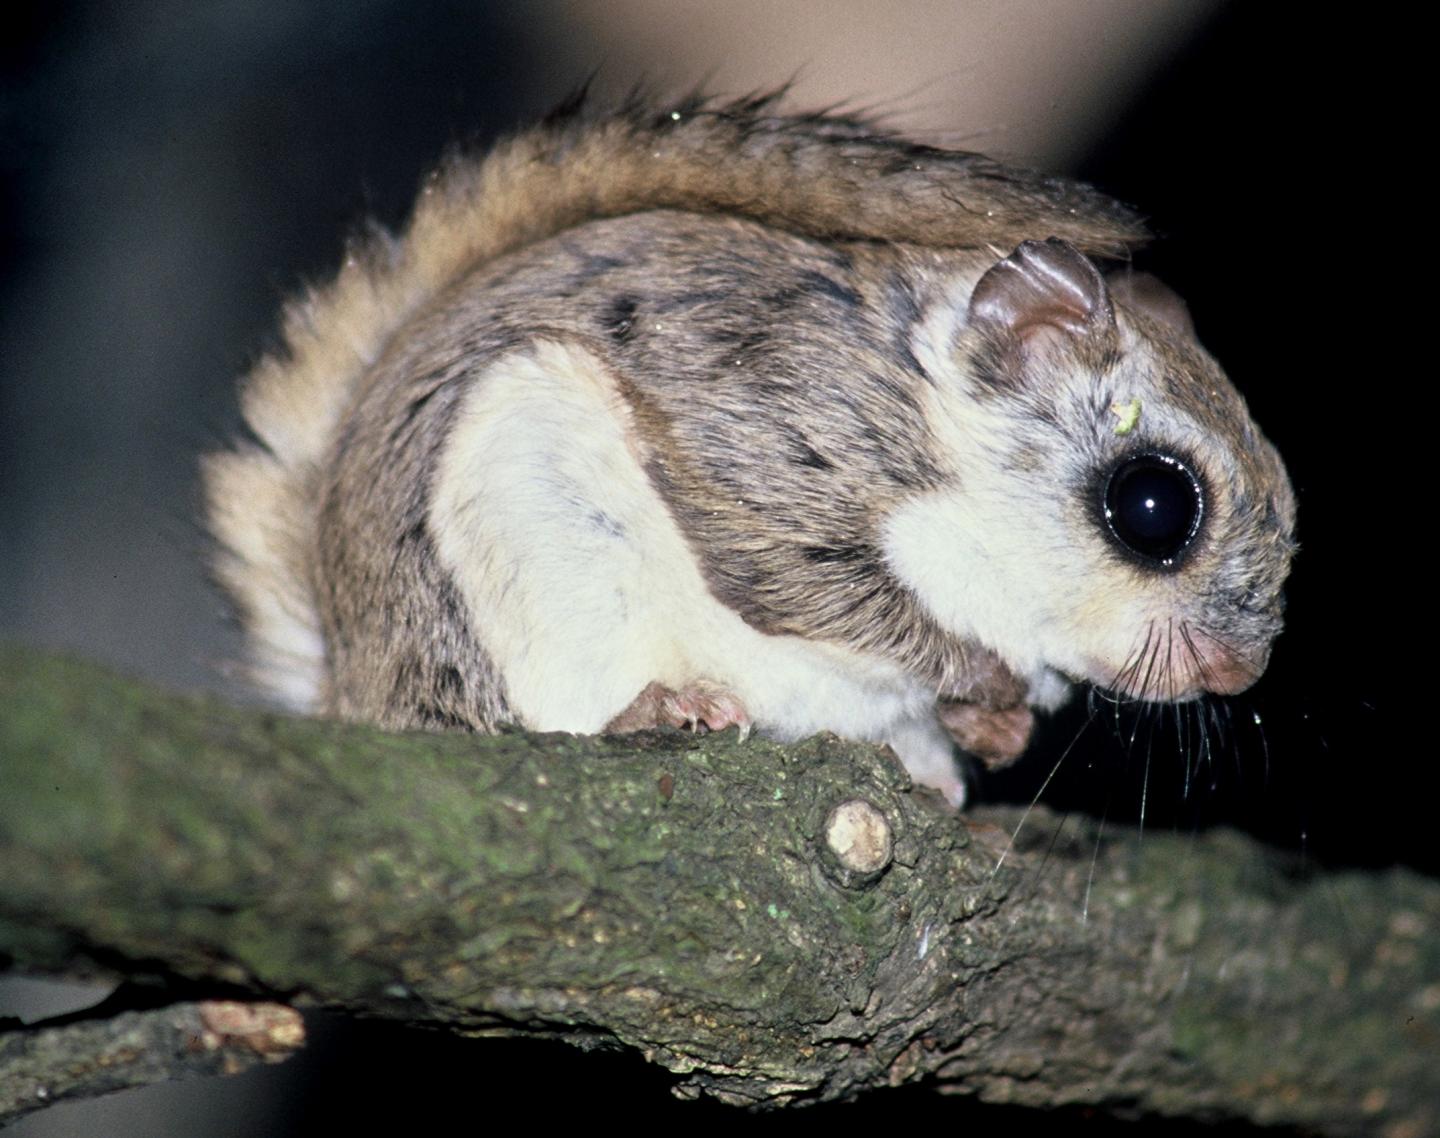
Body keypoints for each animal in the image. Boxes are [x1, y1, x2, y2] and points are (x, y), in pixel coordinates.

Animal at [208, 93, 1301, 818]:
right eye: (1153, 506)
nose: (1238, 674)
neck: (939, 411)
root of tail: (353, 684)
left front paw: (991, 729)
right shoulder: (773, 434)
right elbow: (812, 587)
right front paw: (980, 684)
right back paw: (657, 708)